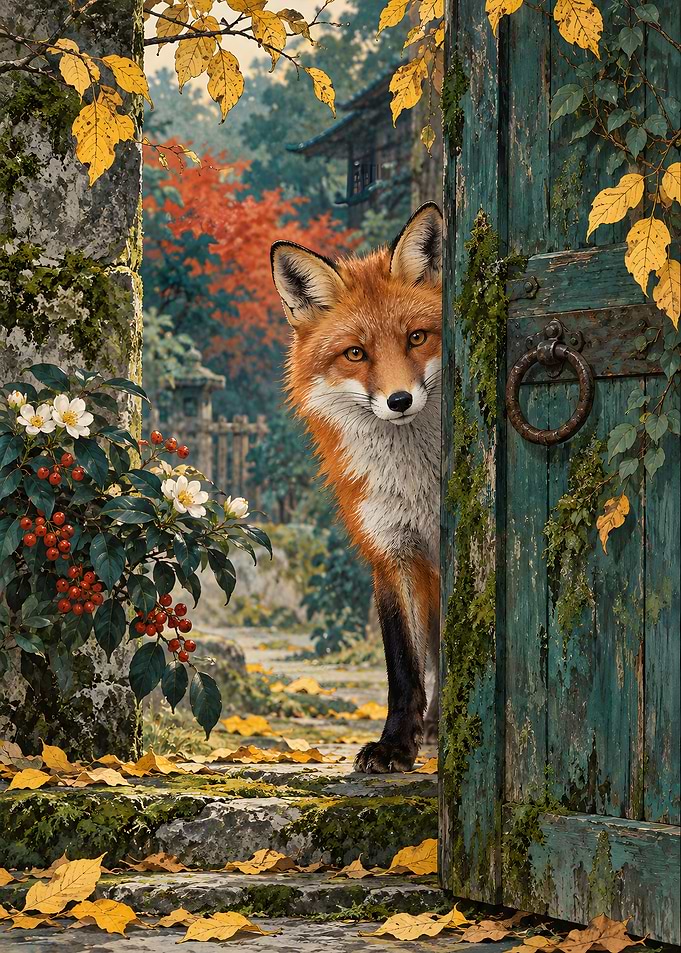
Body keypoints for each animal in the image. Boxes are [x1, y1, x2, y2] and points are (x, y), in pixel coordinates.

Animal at [270, 203, 442, 773]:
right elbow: (404, 668)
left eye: (417, 337)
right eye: (355, 353)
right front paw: (396, 744)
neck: (417, 485)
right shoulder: (391, 552)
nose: (399, 400)